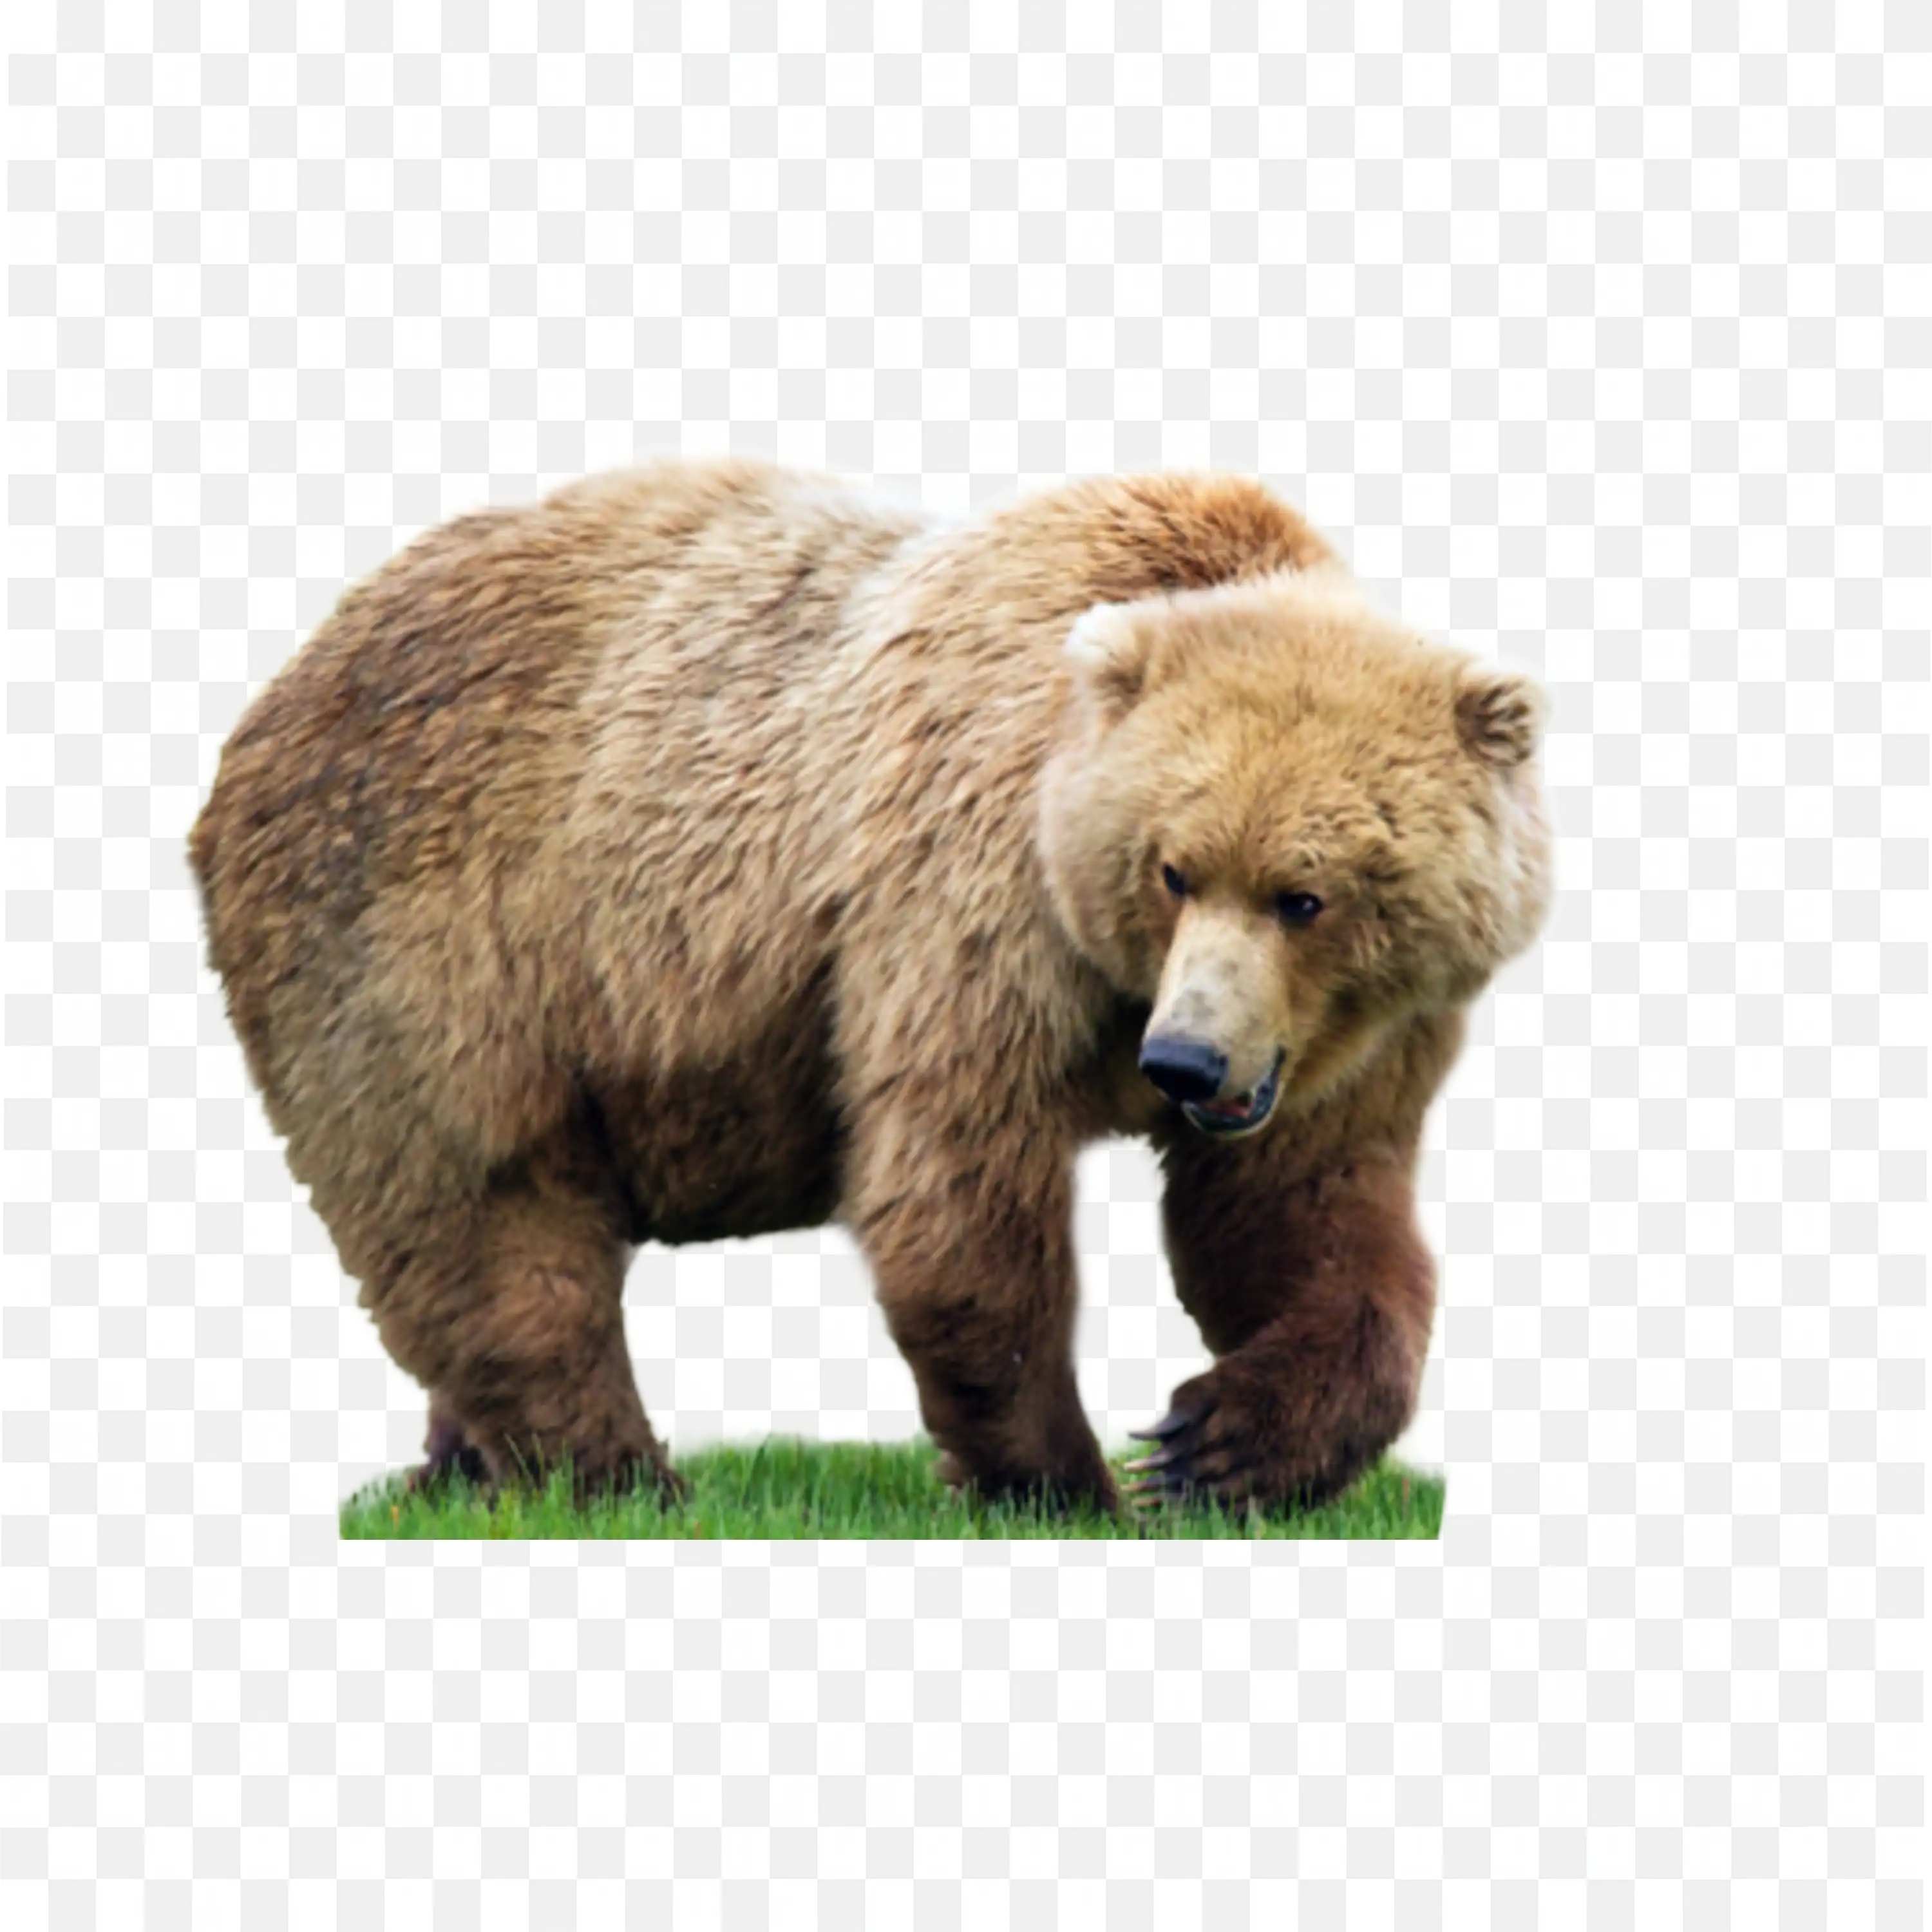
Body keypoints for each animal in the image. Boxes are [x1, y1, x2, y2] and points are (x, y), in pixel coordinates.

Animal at [184, 452, 1556, 1515]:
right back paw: (621, 1474)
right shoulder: (968, 895)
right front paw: (1067, 1481)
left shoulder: (1354, 1033)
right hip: (430, 928)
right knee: (489, 1210)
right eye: (1172, 869)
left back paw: (457, 1468)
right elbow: (957, 1188)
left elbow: (1302, 1209)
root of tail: (284, 676)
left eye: (1305, 894)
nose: (1185, 1064)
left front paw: (1216, 1445)